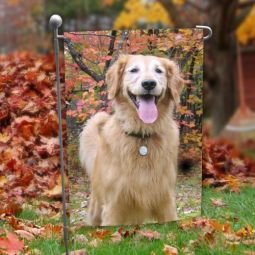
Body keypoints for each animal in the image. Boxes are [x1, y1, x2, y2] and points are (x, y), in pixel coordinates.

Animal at [79, 54, 183, 226]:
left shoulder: (167, 202)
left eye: (158, 71)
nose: (149, 83)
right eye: (134, 70)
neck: (142, 136)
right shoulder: (113, 206)